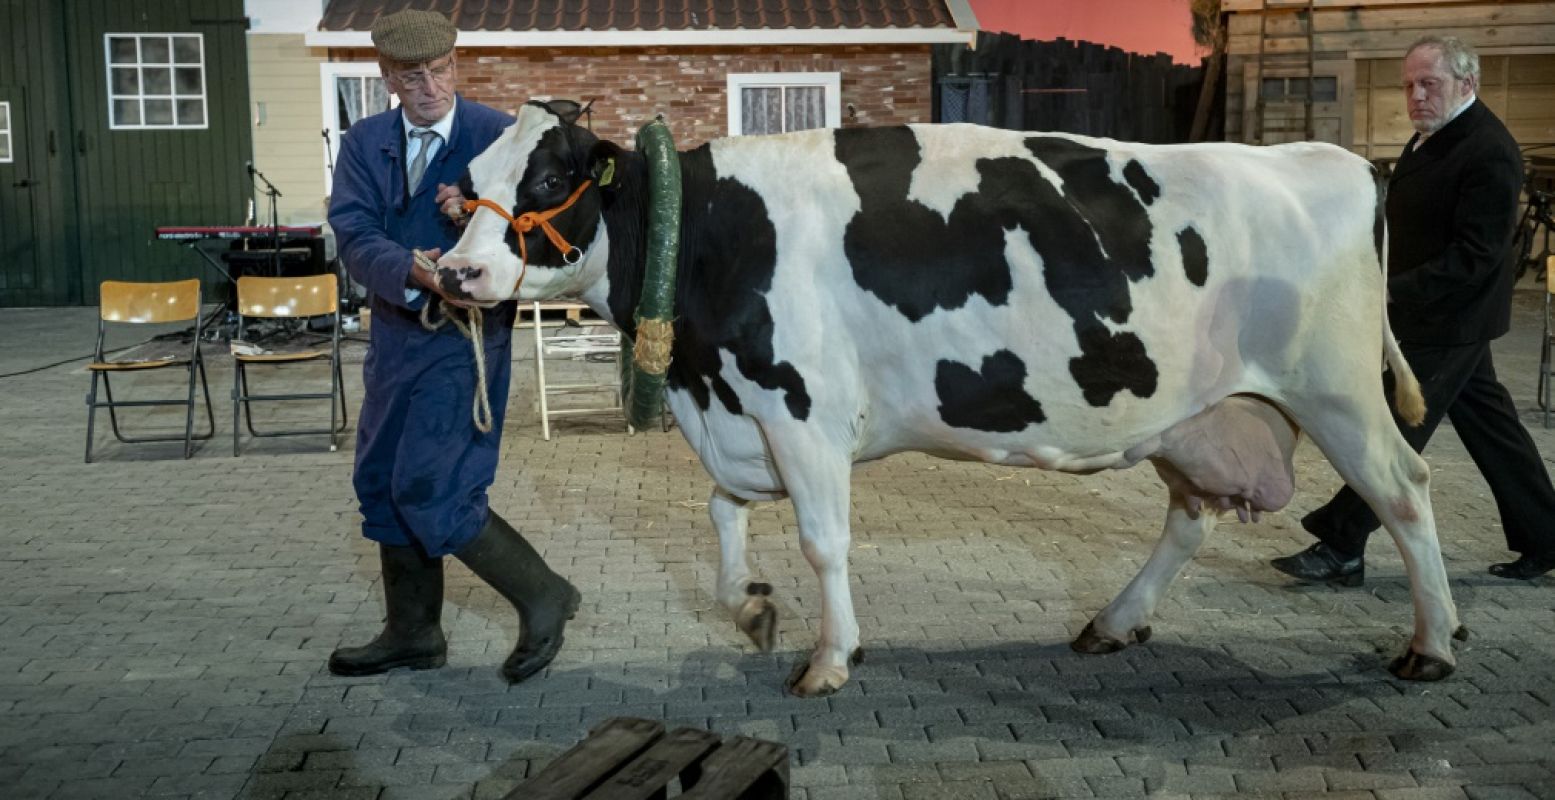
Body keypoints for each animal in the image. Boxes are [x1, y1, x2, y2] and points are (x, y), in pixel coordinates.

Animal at [432, 99, 1461, 694]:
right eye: (466, 182)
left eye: (551, 177)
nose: (455, 272)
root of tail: (1327, 159)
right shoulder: (746, 410)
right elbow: (723, 513)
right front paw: (751, 608)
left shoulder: (802, 410)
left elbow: (822, 541)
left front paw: (830, 657)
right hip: (1194, 415)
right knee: (1189, 519)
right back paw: (1113, 622)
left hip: (1336, 394)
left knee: (1407, 493)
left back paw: (1433, 645)